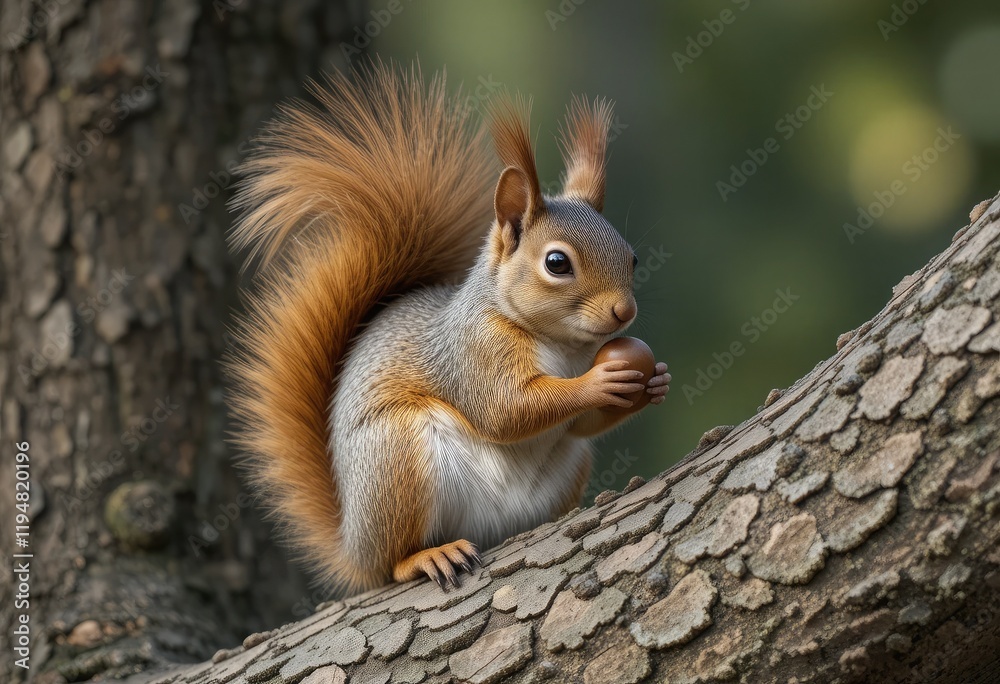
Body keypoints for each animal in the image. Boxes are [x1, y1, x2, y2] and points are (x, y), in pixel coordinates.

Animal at [226, 63, 670, 595]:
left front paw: (654, 381)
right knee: (391, 563)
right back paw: (427, 556)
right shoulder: (474, 350)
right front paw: (600, 380)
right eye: (557, 263)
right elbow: (506, 409)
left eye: (632, 256)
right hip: (398, 456)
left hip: (566, 465)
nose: (624, 312)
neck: (562, 345)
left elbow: (581, 423)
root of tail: (354, 544)